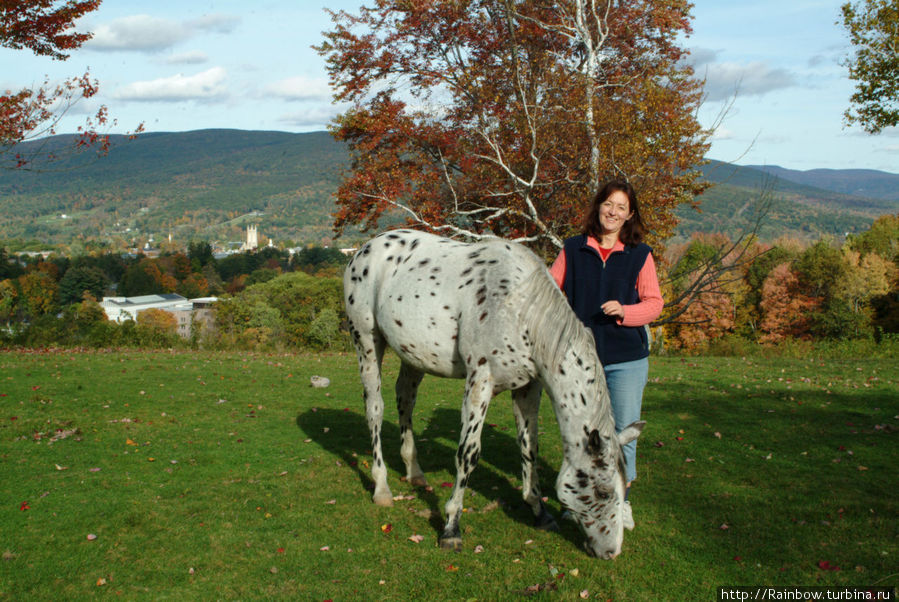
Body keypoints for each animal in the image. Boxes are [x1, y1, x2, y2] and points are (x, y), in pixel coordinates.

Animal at [342, 227, 644, 556]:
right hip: (367, 342)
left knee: (405, 400)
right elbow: (468, 453)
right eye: (601, 491)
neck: (520, 308)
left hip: (413, 356)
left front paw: (540, 512)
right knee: (375, 408)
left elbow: (529, 447)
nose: (611, 552)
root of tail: (364, 250)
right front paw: (451, 528)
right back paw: (382, 488)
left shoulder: (528, 388)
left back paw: (415, 473)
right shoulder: (480, 382)